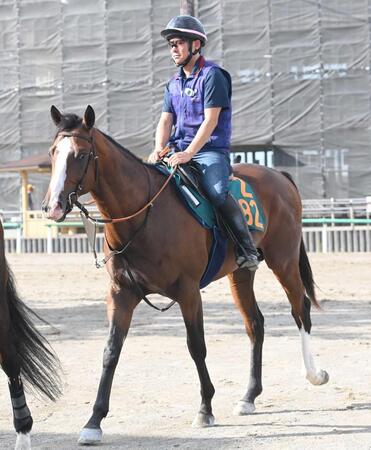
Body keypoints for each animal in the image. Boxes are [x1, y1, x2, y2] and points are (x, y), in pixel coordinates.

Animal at [42, 106, 330, 446]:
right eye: (53, 152)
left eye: (82, 154)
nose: (53, 206)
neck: (145, 213)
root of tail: (279, 176)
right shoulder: (121, 294)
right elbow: (111, 351)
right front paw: (93, 421)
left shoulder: (188, 292)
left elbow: (196, 346)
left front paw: (205, 409)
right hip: (240, 274)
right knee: (255, 324)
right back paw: (249, 396)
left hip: (283, 260)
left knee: (301, 310)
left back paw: (314, 374)